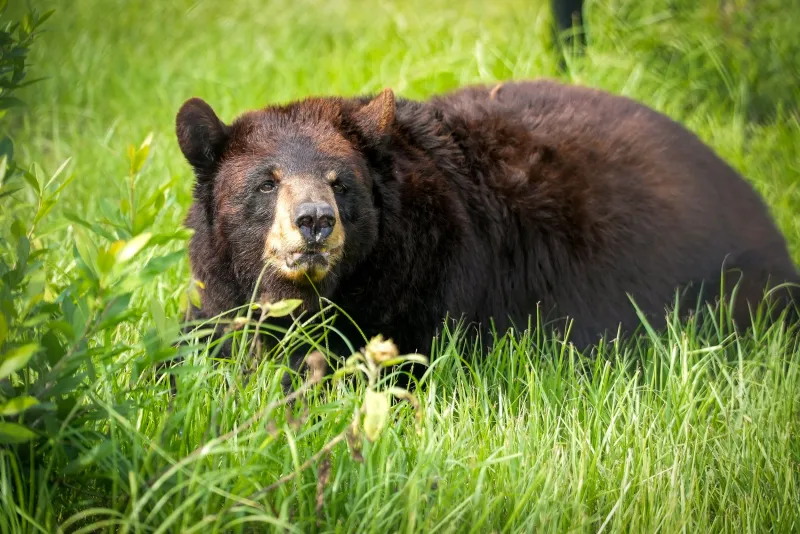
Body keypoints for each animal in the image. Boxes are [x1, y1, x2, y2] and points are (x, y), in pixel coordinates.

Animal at [175, 79, 799, 388]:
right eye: (266, 181)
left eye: (340, 182)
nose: (315, 221)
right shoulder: (217, 294)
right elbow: (198, 339)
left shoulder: (429, 281)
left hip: (734, 279)